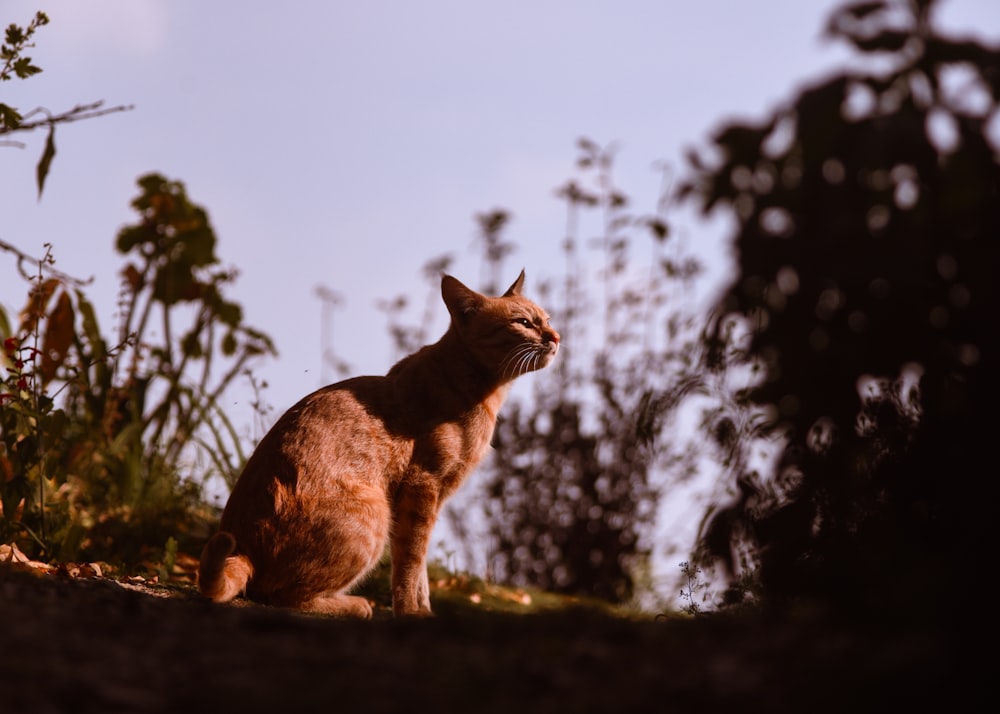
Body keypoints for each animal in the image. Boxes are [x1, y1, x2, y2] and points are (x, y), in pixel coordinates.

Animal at [199, 270, 560, 616]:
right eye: (523, 323)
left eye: (547, 318)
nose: (556, 337)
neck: (474, 384)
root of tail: (245, 548)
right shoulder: (423, 486)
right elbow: (411, 560)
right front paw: (410, 612)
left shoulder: (432, 496)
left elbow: (420, 567)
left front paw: (423, 610)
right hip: (374, 515)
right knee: (280, 596)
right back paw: (356, 606)